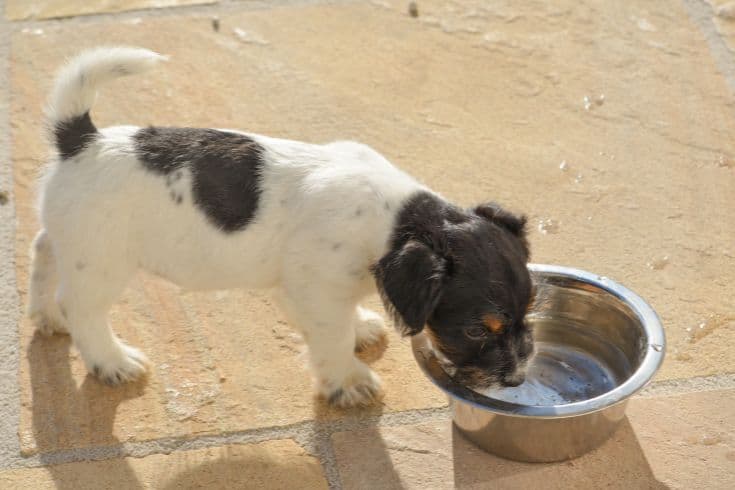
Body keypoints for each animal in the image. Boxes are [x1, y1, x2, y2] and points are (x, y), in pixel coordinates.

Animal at [28, 47, 536, 408]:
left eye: (529, 310)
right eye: (477, 331)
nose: (516, 378)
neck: (394, 219)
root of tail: (82, 141)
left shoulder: (310, 287)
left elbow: (339, 322)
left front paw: (361, 327)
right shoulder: (318, 287)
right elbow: (331, 338)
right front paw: (348, 381)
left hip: (73, 240)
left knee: (43, 251)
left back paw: (45, 316)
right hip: (102, 263)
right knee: (83, 309)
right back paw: (112, 361)